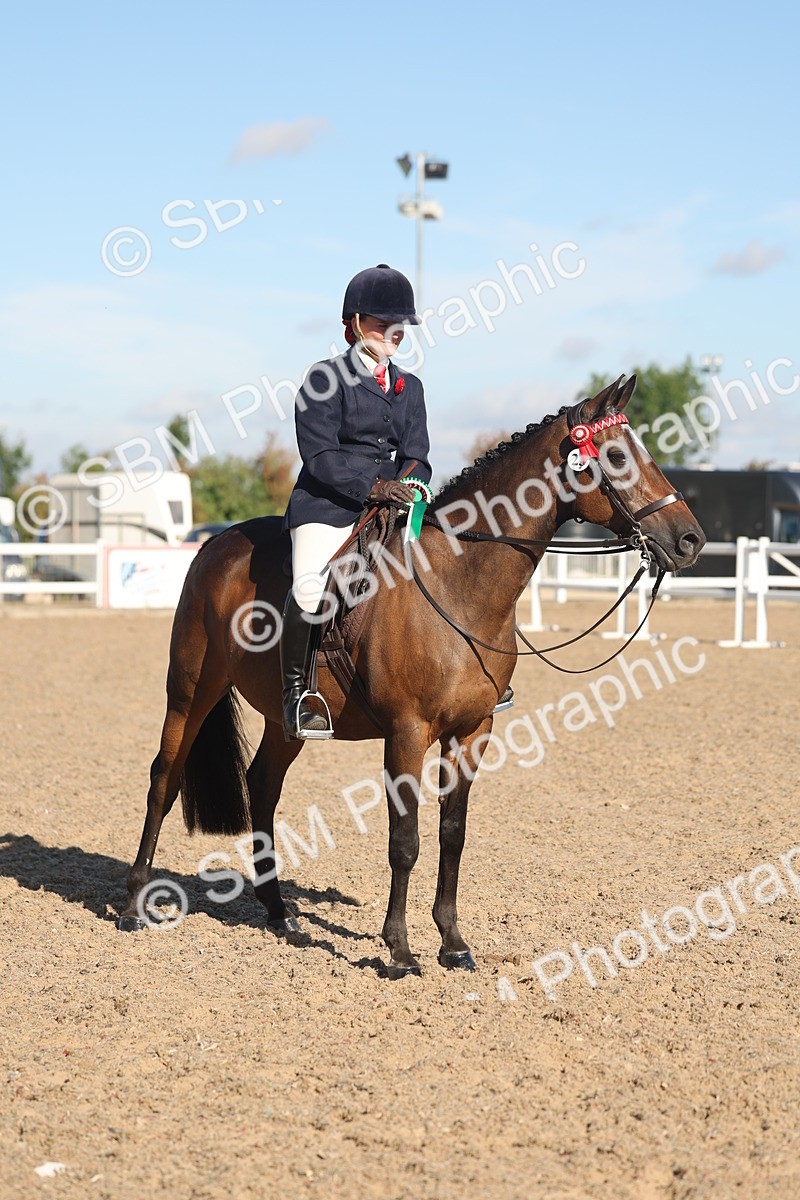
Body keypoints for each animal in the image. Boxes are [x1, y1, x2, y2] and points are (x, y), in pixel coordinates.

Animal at [118, 376, 705, 978]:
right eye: (616, 457)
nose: (690, 540)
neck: (457, 584)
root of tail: (215, 544)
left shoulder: (472, 732)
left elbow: (452, 834)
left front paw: (452, 942)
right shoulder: (406, 733)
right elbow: (405, 840)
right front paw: (399, 951)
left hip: (289, 722)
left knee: (262, 785)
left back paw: (279, 912)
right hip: (191, 690)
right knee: (164, 778)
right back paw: (136, 904)